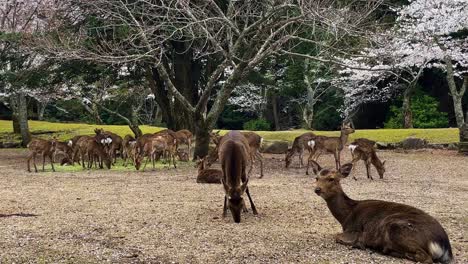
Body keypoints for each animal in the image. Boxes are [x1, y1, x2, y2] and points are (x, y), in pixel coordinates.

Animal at [310, 159, 454, 264]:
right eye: (316, 178)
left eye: (331, 178)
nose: (317, 189)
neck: (346, 217)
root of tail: (444, 245)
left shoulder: (354, 230)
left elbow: (337, 236)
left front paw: (359, 243)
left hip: (396, 227)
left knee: (426, 258)